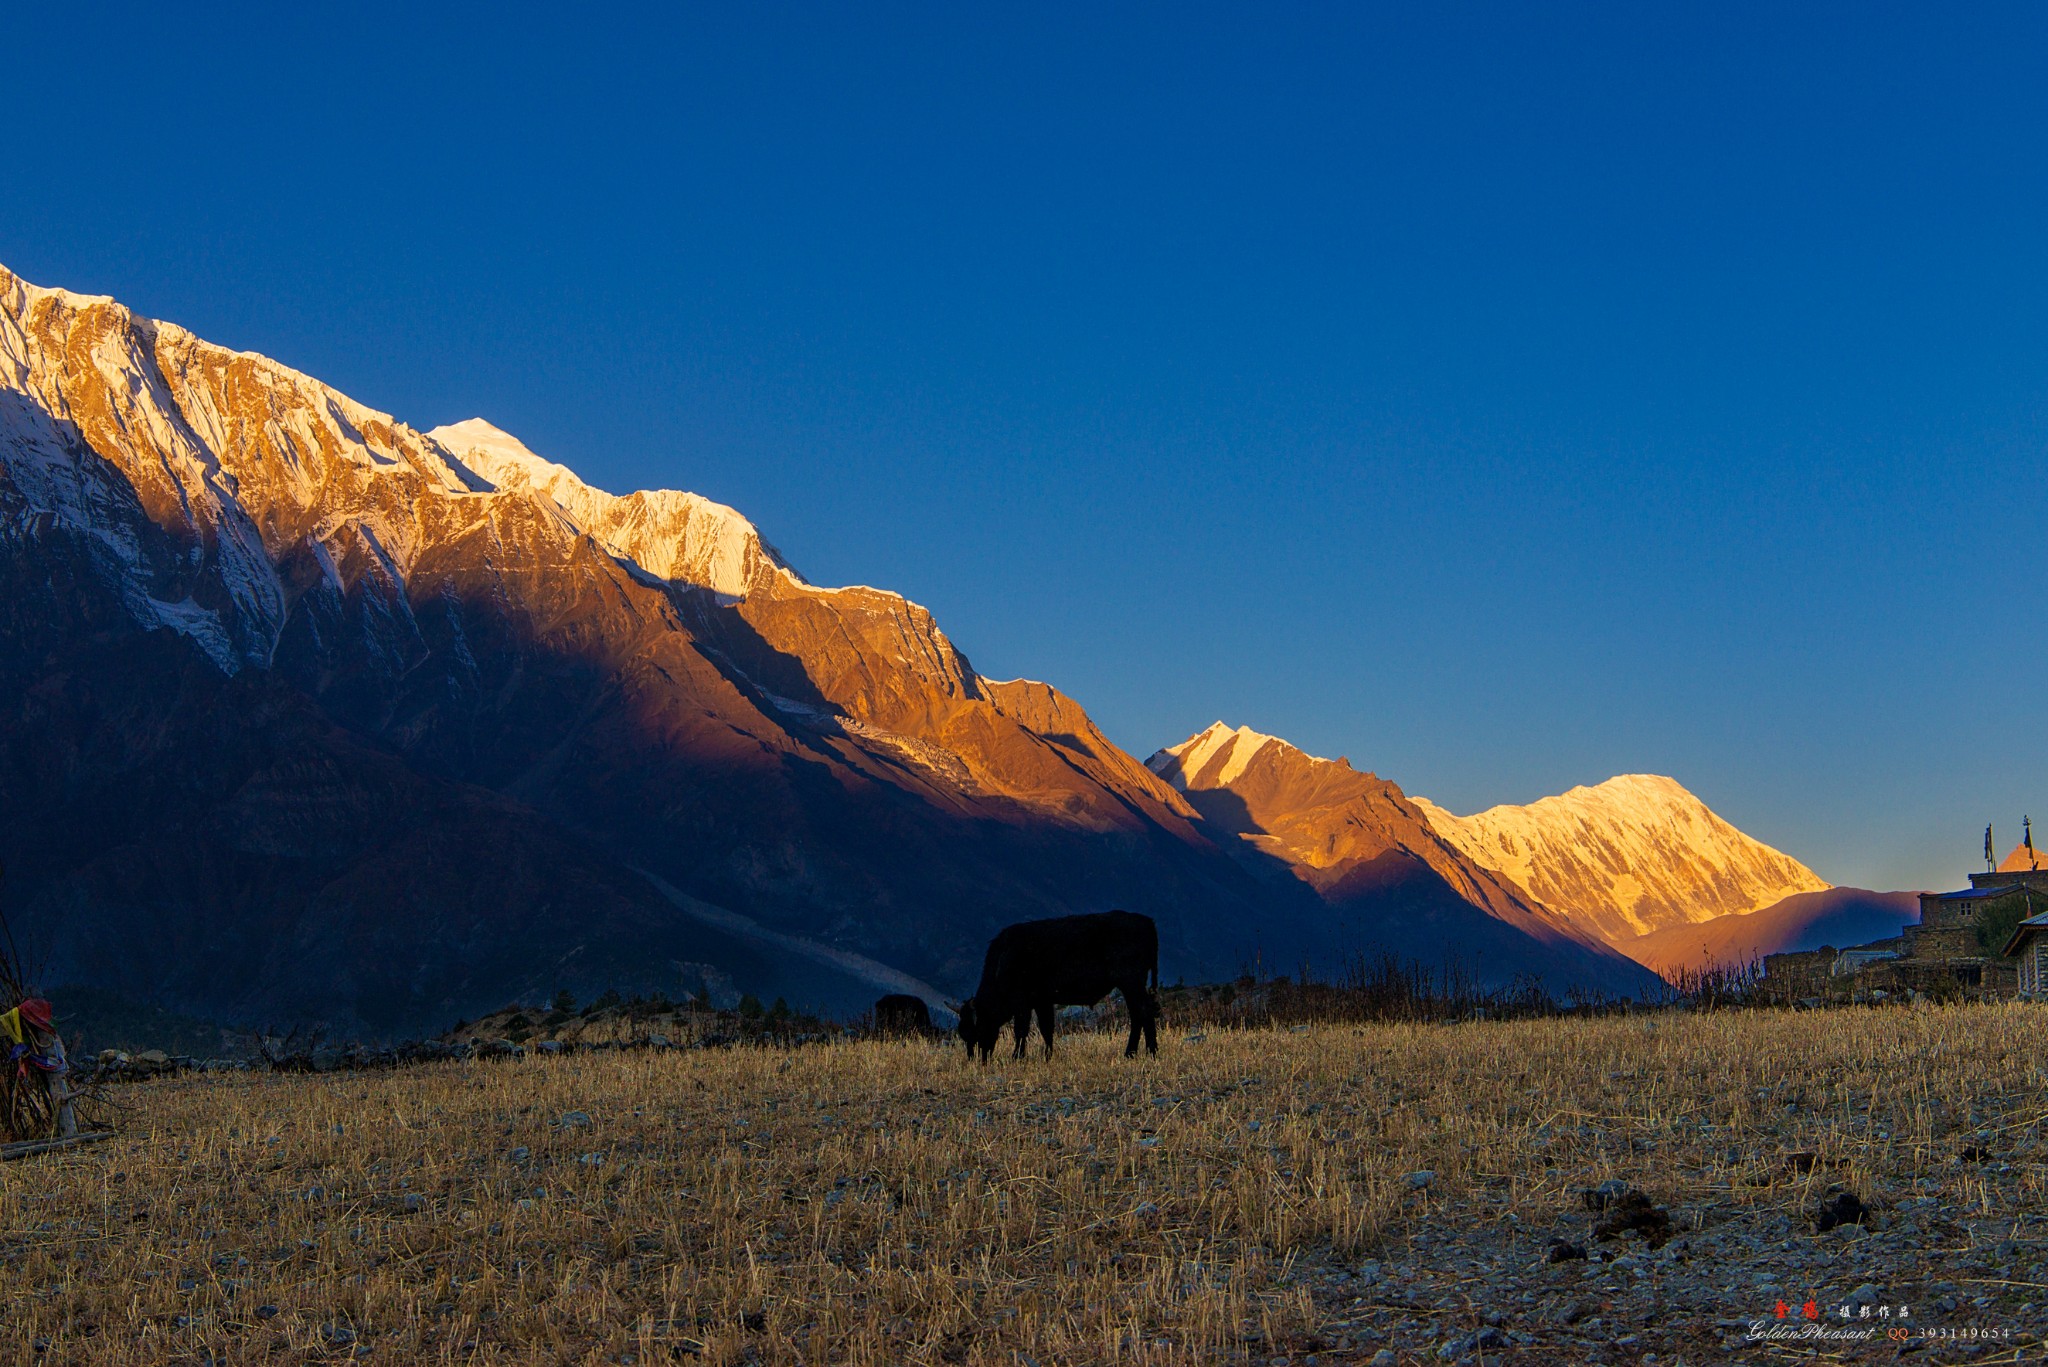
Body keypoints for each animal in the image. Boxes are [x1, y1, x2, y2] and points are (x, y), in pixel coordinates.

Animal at [954, 914, 1163, 1065]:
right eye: (963, 1033)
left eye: (977, 1029)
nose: (977, 1060)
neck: (1002, 959)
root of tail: (1147, 922)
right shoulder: (1042, 1001)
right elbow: (1047, 1028)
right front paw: (1047, 1056)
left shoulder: (1022, 1003)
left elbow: (1021, 1029)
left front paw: (1017, 1057)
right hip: (1131, 986)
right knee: (1137, 1015)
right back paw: (1131, 1054)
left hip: (1131, 983)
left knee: (1144, 1011)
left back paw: (1151, 1052)